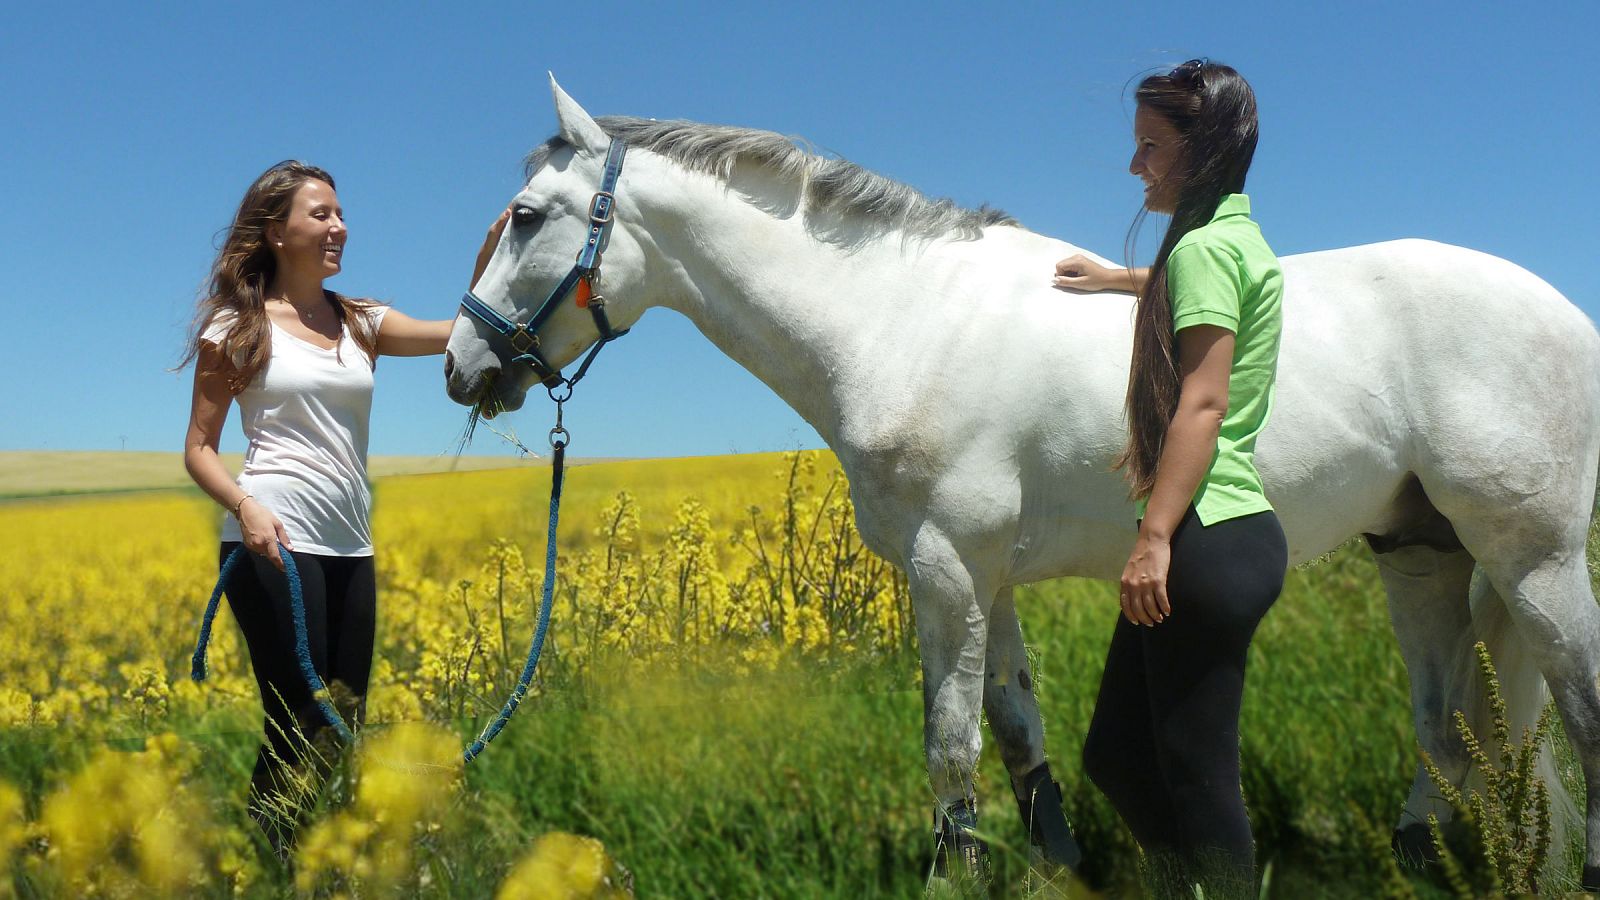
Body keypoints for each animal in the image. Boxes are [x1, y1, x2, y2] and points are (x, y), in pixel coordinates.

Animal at [444, 80, 1600, 883]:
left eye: (529, 214)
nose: (464, 365)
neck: (899, 320)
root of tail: (1563, 312)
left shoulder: (948, 570)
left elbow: (950, 745)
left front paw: (952, 876)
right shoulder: (983, 578)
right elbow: (1016, 735)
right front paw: (1058, 868)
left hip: (1533, 558)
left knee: (1574, 708)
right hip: (1420, 552)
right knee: (1446, 728)